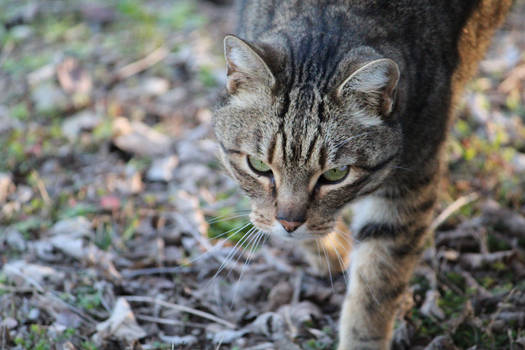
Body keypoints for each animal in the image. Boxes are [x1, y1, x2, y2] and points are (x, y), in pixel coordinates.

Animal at [211, 1, 510, 348]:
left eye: (336, 174)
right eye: (259, 165)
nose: (289, 223)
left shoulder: (411, 182)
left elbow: (376, 285)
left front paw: (362, 338)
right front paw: (328, 250)